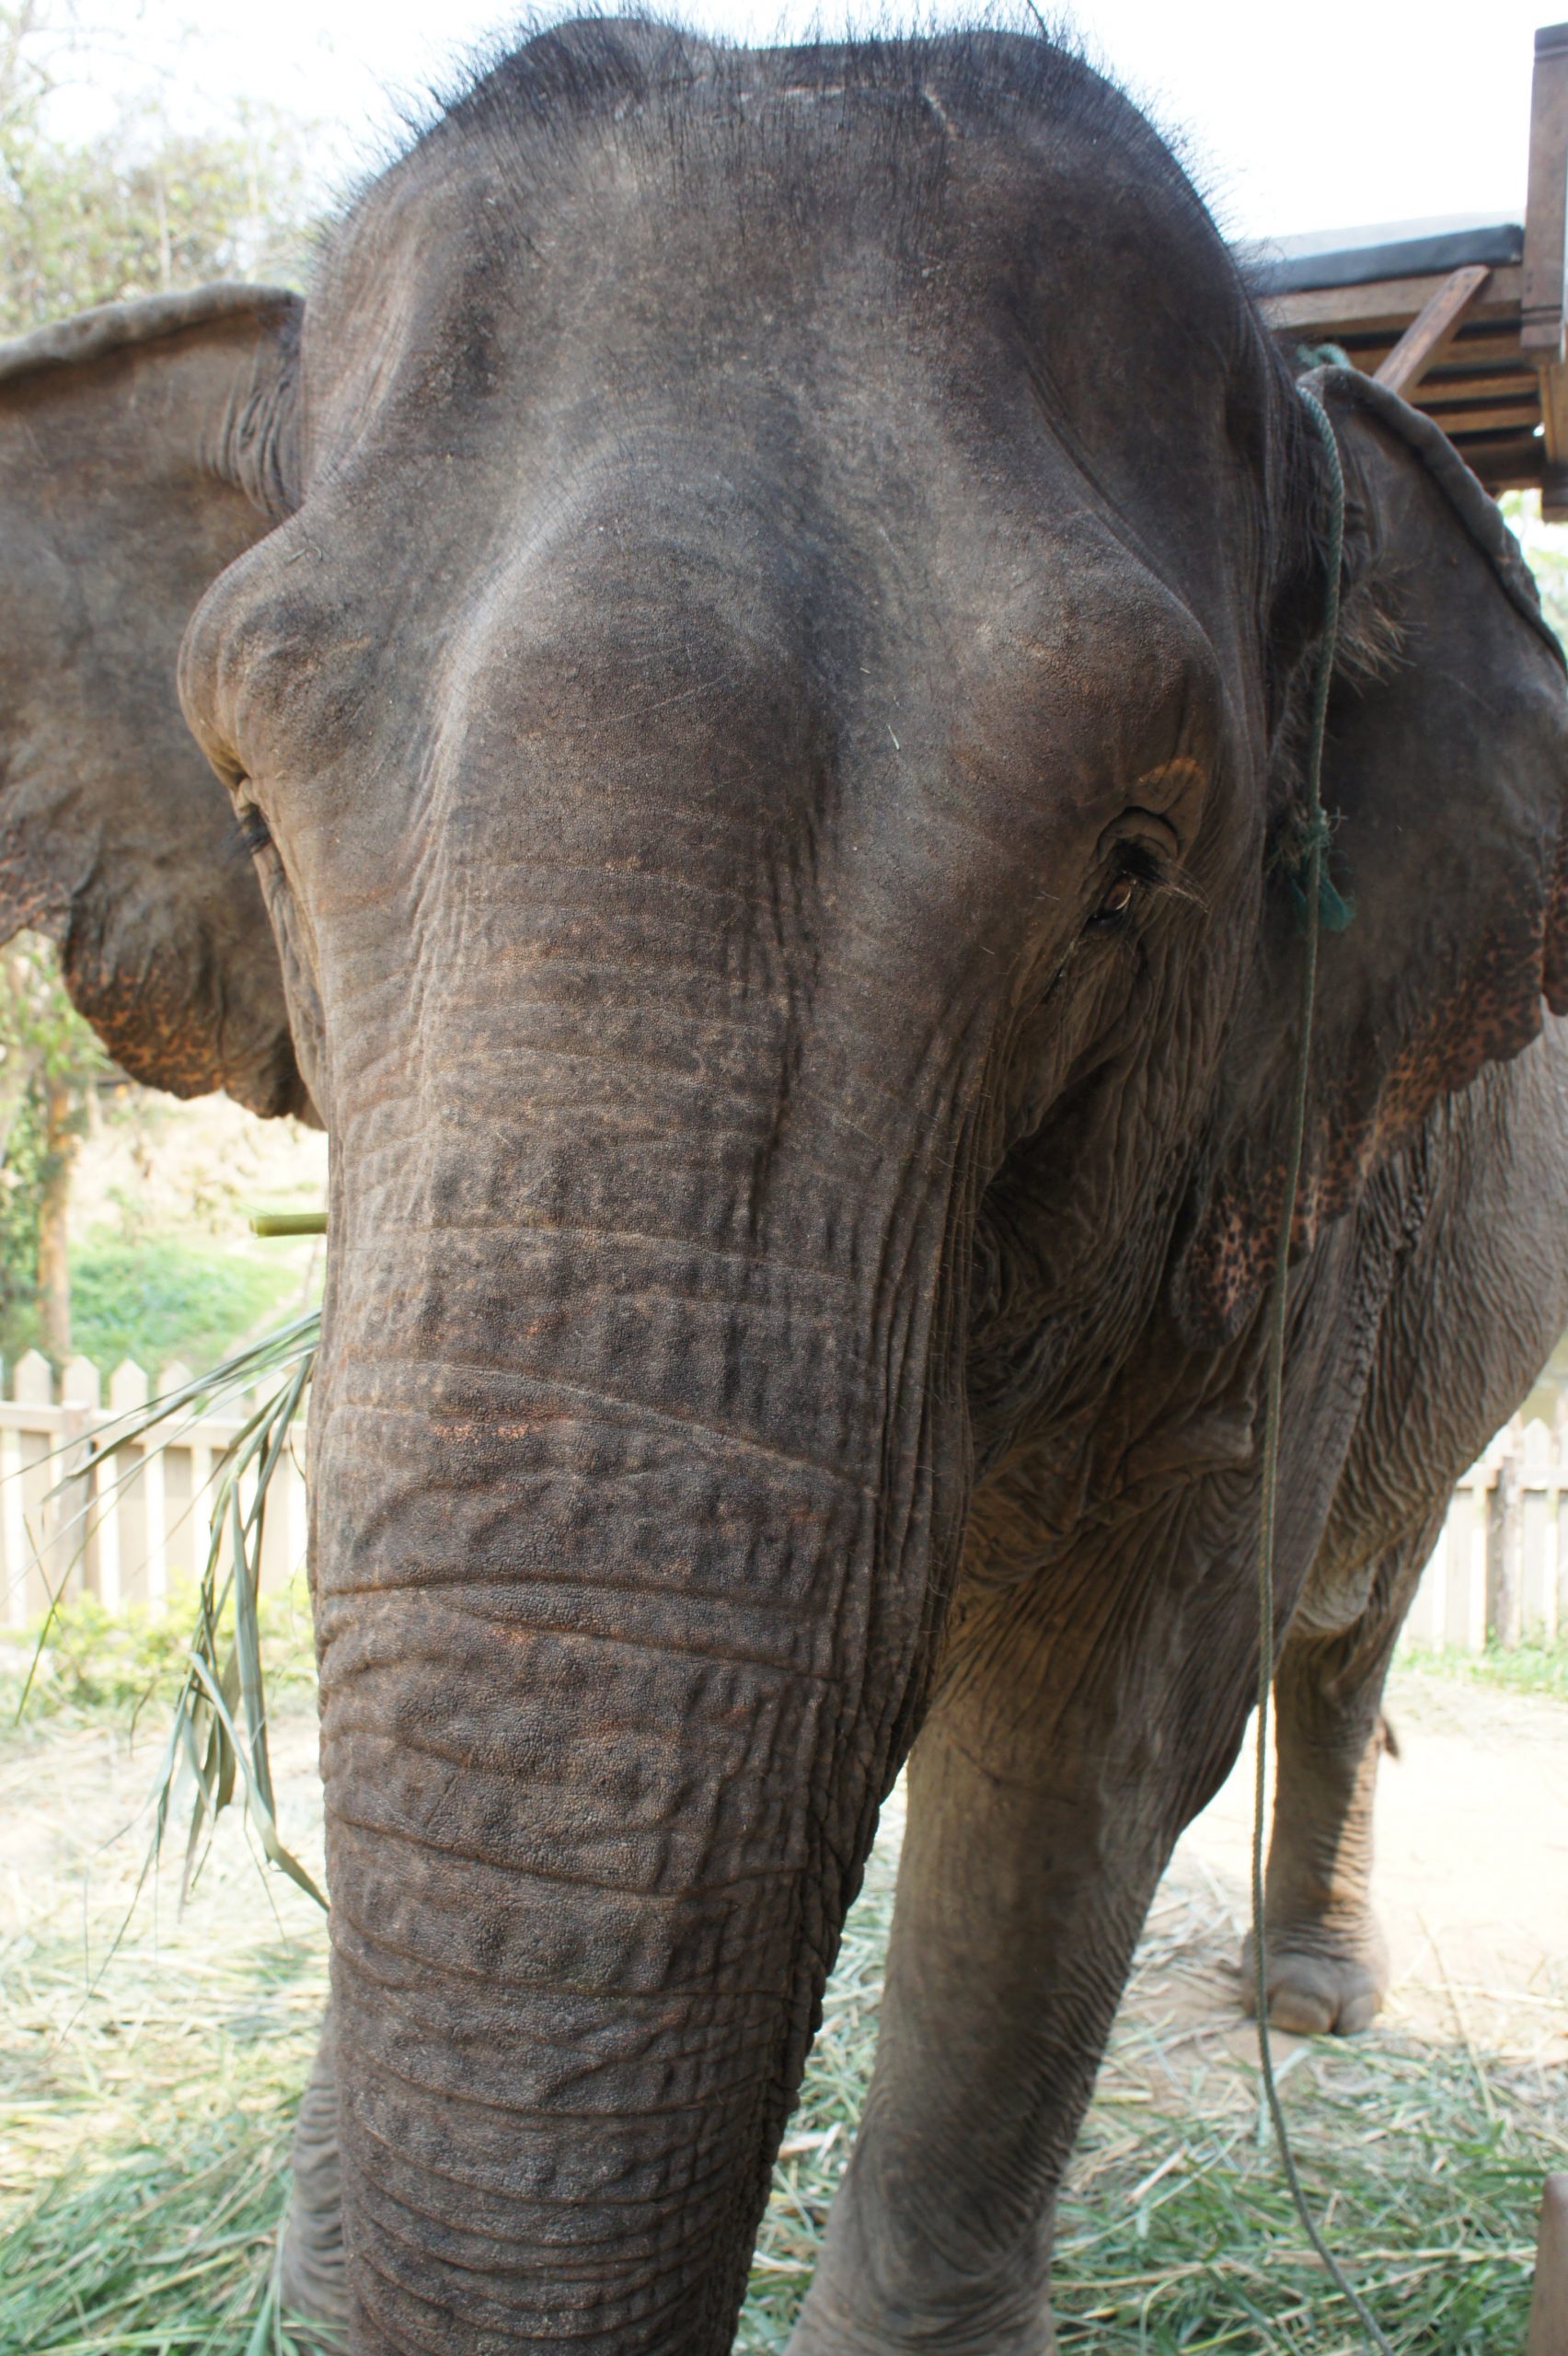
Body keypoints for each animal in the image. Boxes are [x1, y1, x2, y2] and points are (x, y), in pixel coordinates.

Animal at [3, 19, 1568, 2354]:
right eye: (253, 815)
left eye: (1131, 863)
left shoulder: (1273, 1208)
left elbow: (1088, 1747)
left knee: (1343, 1623)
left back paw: (1307, 1994)